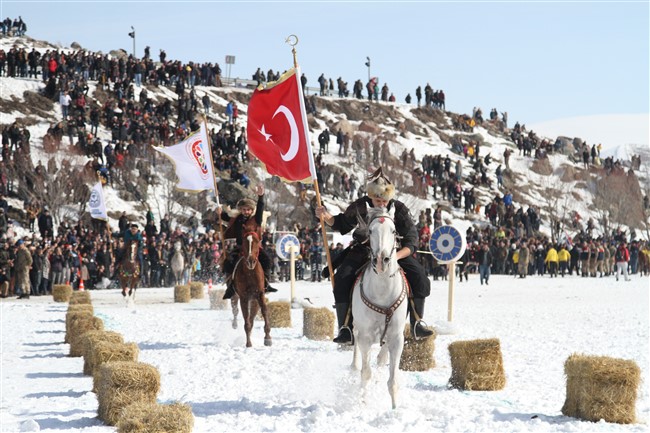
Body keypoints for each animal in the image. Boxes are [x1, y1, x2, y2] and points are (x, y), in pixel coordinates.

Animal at [350, 205, 404, 408]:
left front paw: (395, 409)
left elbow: (393, 381)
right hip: (357, 330)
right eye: (371, 231)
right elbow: (365, 373)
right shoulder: (365, 337)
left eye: (394, 231)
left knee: (382, 357)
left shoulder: (396, 338)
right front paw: (363, 403)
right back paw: (354, 366)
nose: (382, 261)